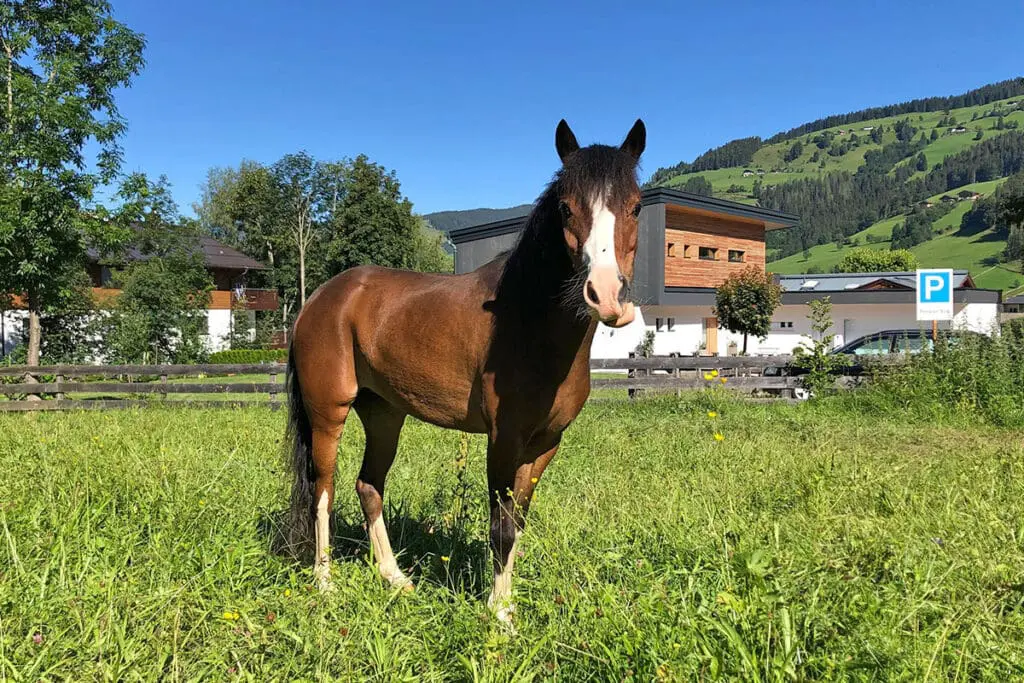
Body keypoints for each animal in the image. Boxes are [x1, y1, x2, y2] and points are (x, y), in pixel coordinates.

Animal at [283, 117, 646, 627]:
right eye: (566, 208)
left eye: (635, 206)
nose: (607, 295)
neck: (527, 317)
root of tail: (318, 298)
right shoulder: (503, 440)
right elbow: (500, 527)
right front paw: (499, 617)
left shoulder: (545, 445)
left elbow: (517, 523)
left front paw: (506, 602)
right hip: (327, 414)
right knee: (324, 491)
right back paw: (324, 582)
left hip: (384, 416)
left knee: (368, 486)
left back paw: (395, 578)